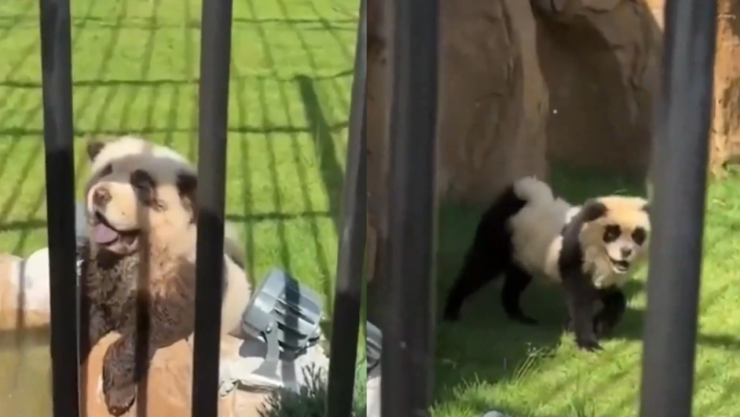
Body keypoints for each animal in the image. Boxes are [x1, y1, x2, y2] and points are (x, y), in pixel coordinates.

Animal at [79, 136, 252, 415]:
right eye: (105, 171)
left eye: (141, 184)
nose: (100, 194)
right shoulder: (98, 282)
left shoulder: (179, 290)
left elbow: (133, 340)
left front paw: (118, 395)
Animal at [442, 176, 650, 352]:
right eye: (612, 233)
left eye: (637, 235)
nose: (626, 252)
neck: (600, 257)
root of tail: (516, 194)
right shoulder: (575, 255)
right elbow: (580, 301)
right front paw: (588, 342)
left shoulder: (603, 275)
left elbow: (614, 297)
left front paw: (602, 323)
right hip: (500, 238)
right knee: (479, 269)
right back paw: (451, 313)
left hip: (525, 253)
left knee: (514, 283)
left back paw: (520, 317)